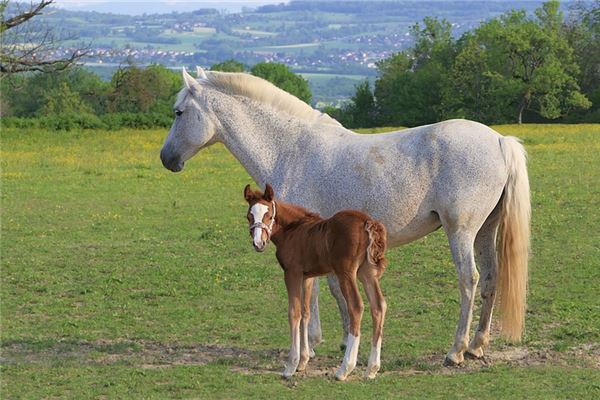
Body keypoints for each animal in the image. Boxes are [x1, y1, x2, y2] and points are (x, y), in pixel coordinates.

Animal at [245, 183, 390, 380]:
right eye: (249, 216)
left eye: (268, 215)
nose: (258, 243)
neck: (292, 230)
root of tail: (367, 222)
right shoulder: (307, 276)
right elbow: (306, 312)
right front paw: (303, 362)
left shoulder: (292, 273)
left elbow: (294, 313)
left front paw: (291, 366)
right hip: (367, 273)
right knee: (379, 306)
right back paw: (372, 369)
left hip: (346, 272)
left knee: (356, 306)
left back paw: (344, 369)